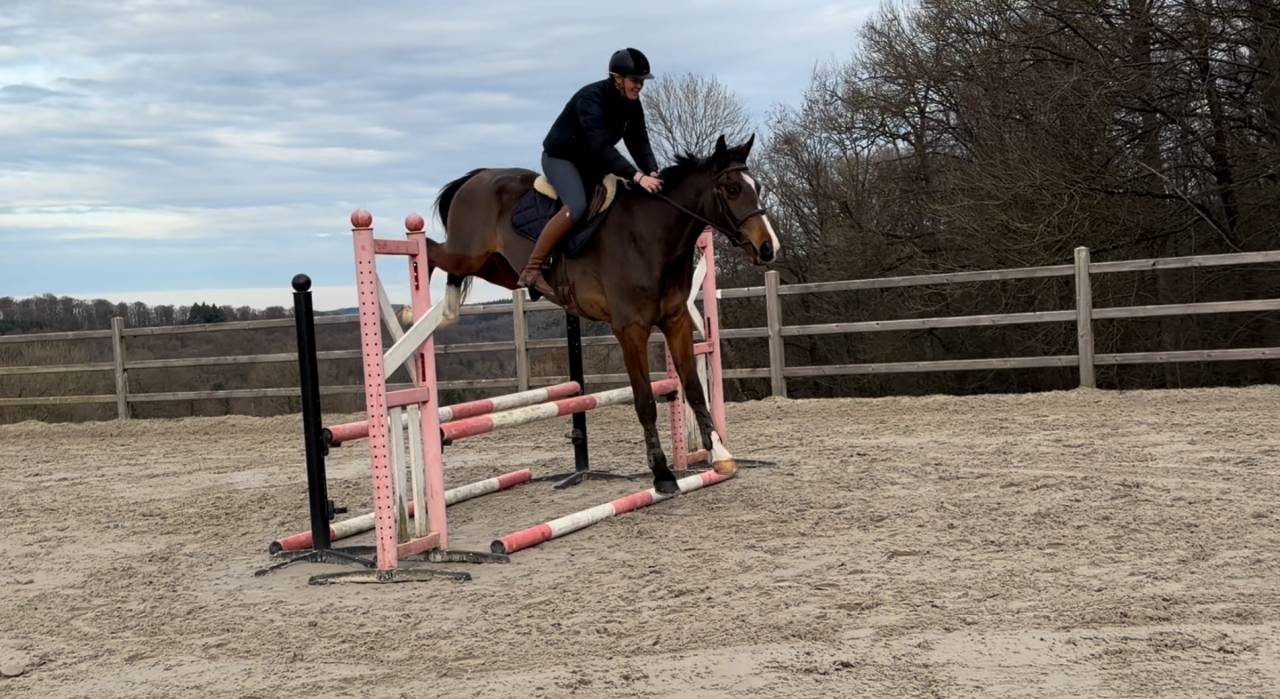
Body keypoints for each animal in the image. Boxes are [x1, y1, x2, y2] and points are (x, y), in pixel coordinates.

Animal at [426, 134, 781, 494]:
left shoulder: (676, 321)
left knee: (456, 266)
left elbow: (693, 388)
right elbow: (645, 400)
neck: (652, 237)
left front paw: (720, 454)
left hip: (498, 268)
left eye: (757, 187)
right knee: (430, 251)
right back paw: (422, 309)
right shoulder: (630, 329)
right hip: (469, 255)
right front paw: (662, 473)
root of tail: (476, 177)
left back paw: (450, 308)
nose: (769, 248)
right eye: (732, 189)